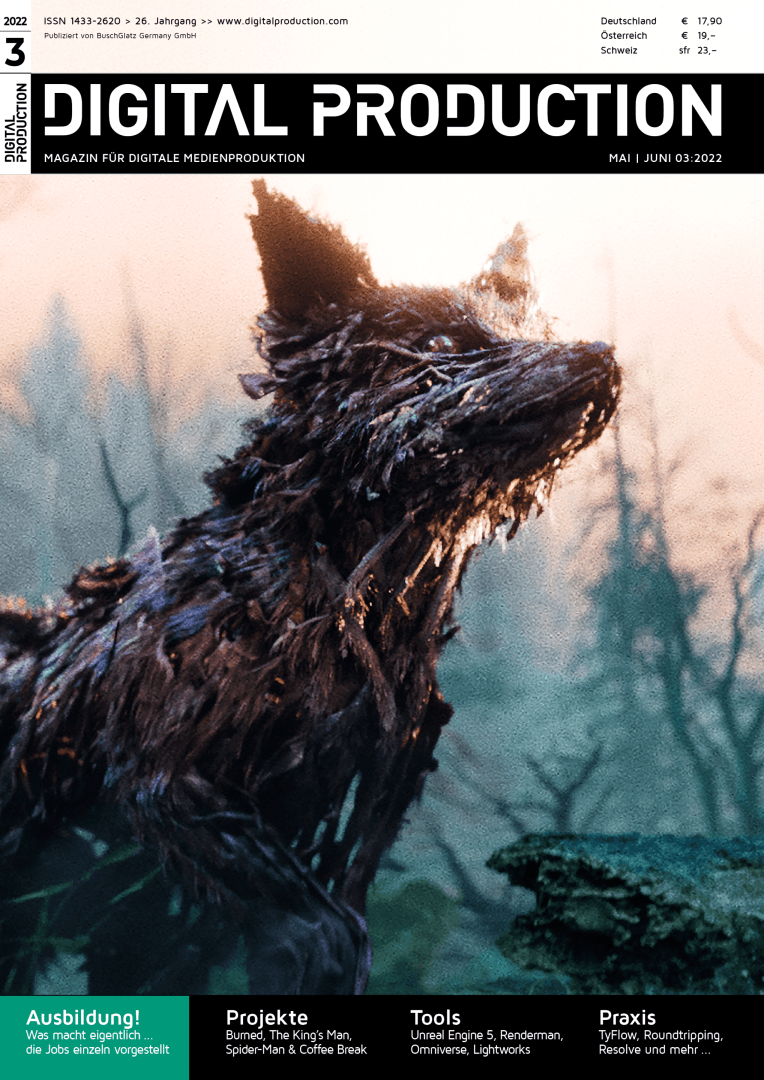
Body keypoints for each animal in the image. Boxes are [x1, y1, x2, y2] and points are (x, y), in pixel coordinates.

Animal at [0, 182, 620, 994]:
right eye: (440, 346)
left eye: (535, 326)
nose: (598, 357)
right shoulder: (163, 777)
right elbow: (318, 924)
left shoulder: (384, 775)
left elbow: (345, 911)